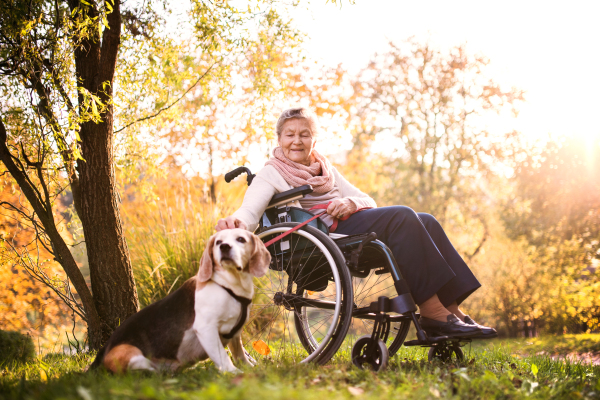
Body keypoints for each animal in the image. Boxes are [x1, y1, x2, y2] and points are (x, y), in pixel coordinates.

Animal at [89, 230, 272, 374]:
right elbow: (223, 356)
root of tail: (103, 350)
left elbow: (239, 354)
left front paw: (250, 368)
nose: (224, 247)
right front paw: (234, 373)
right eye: (218, 242)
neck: (229, 285)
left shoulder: (235, 333)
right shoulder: (206, 328)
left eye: (241, 239)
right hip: (132, 355)